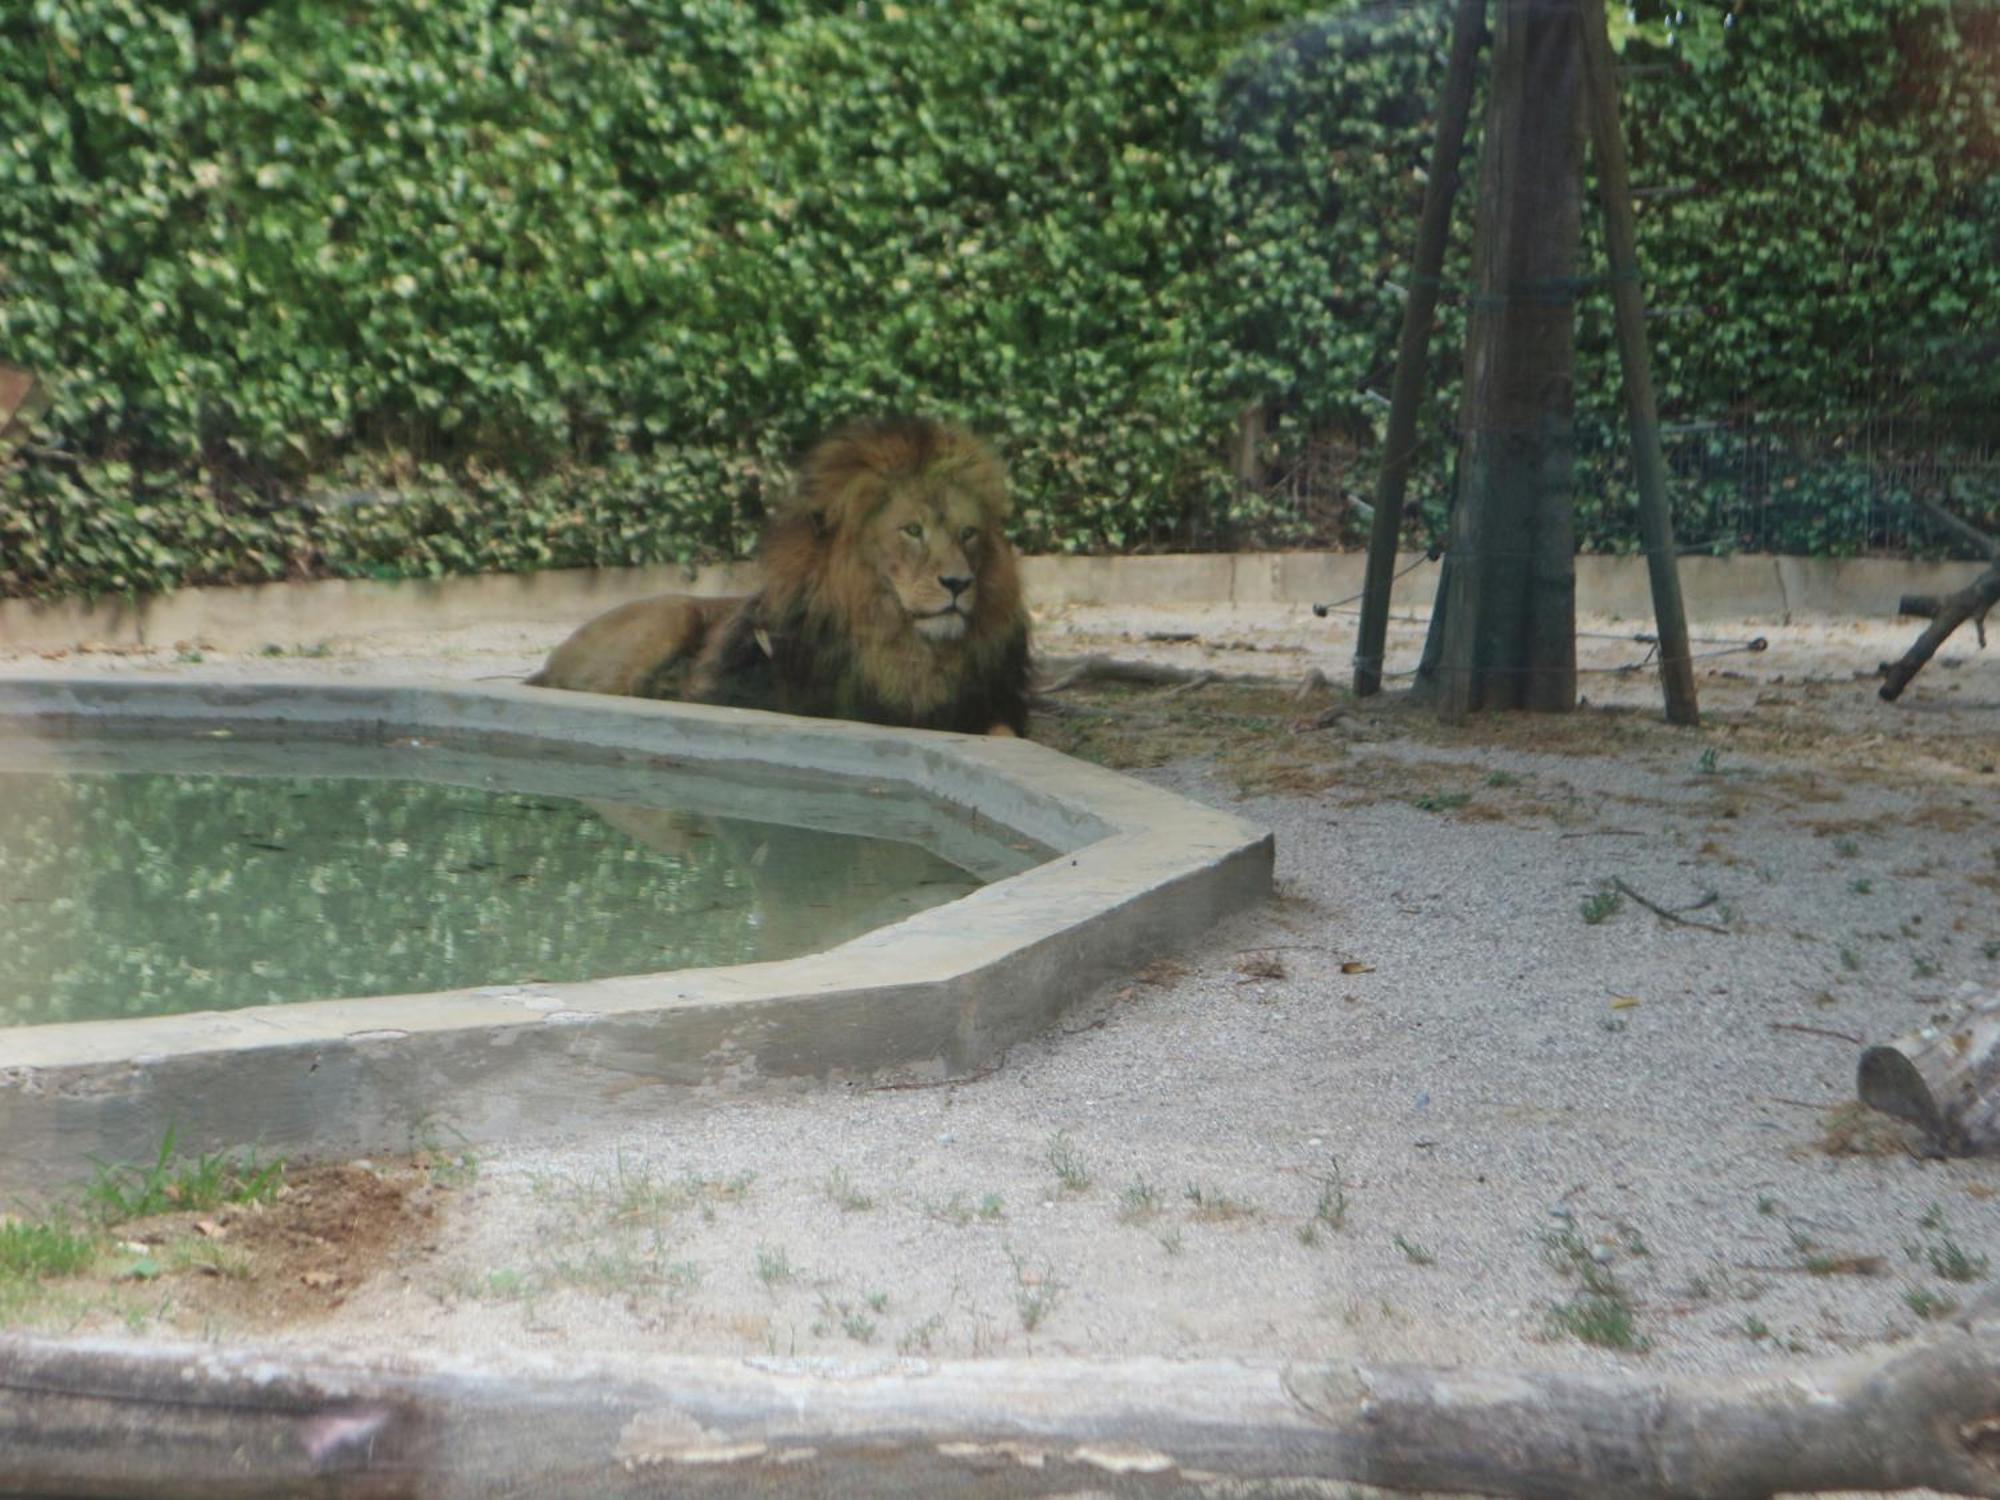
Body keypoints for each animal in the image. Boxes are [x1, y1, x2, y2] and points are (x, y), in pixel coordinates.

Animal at [528, 418, 1032, 740]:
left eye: (968, 533)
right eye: (912, 530)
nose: (959, 583)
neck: (903, 650)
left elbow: (1007, 734)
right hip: (671, 614)